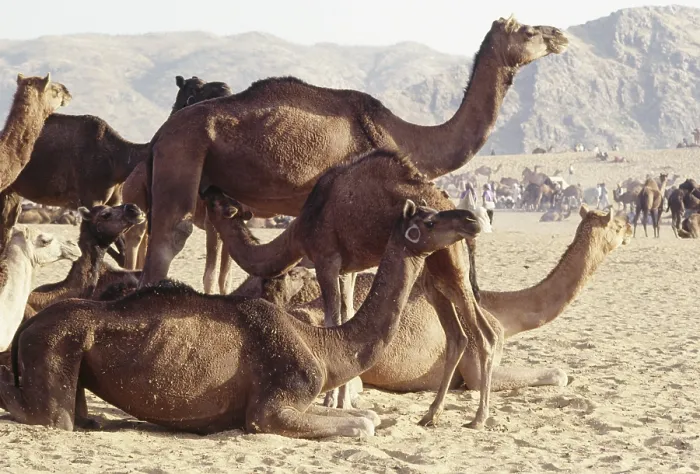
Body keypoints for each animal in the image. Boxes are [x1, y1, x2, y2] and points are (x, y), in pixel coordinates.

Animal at [0, 200, 479, 437]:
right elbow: (363, 425)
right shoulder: (271, 409)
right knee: (48, 416)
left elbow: (371, 418)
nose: (473, 217)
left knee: (82, 416)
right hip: (52, 351)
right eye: (430, 220)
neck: (325, 346)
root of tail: (28, 326)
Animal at [140, 16, 569, 286]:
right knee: (168, 238)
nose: (560, 34)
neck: (403, 135)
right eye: (529, 30)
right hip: (182, 155)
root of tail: (159, 134)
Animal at [201, 150, 503, 429]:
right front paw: (342, 400)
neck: (300, 228)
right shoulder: (347, 269)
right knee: (457, 336)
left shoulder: (326, 260)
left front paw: (330, 399)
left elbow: (333, 319)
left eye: (218, 203)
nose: (208, 189)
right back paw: (431, 415)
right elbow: (346, 317)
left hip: (450, 266)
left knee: (485, 334)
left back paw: (478, 418)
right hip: (433, 276)